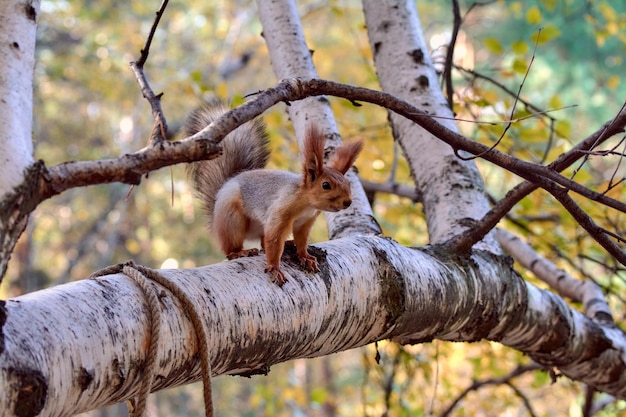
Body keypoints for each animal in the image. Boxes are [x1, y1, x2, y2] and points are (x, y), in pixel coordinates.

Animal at [183, 101, 364, 284]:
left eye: (348, 183)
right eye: (325, 185)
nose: (348, 202)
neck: (306, 204)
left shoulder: (305, 223)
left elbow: (301, 241)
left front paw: (305, 256)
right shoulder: (281, 210)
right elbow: (274, 239)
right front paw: (275, 268)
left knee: (263, 243)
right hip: (231, 218)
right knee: (231, 248)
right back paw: (241, 252)